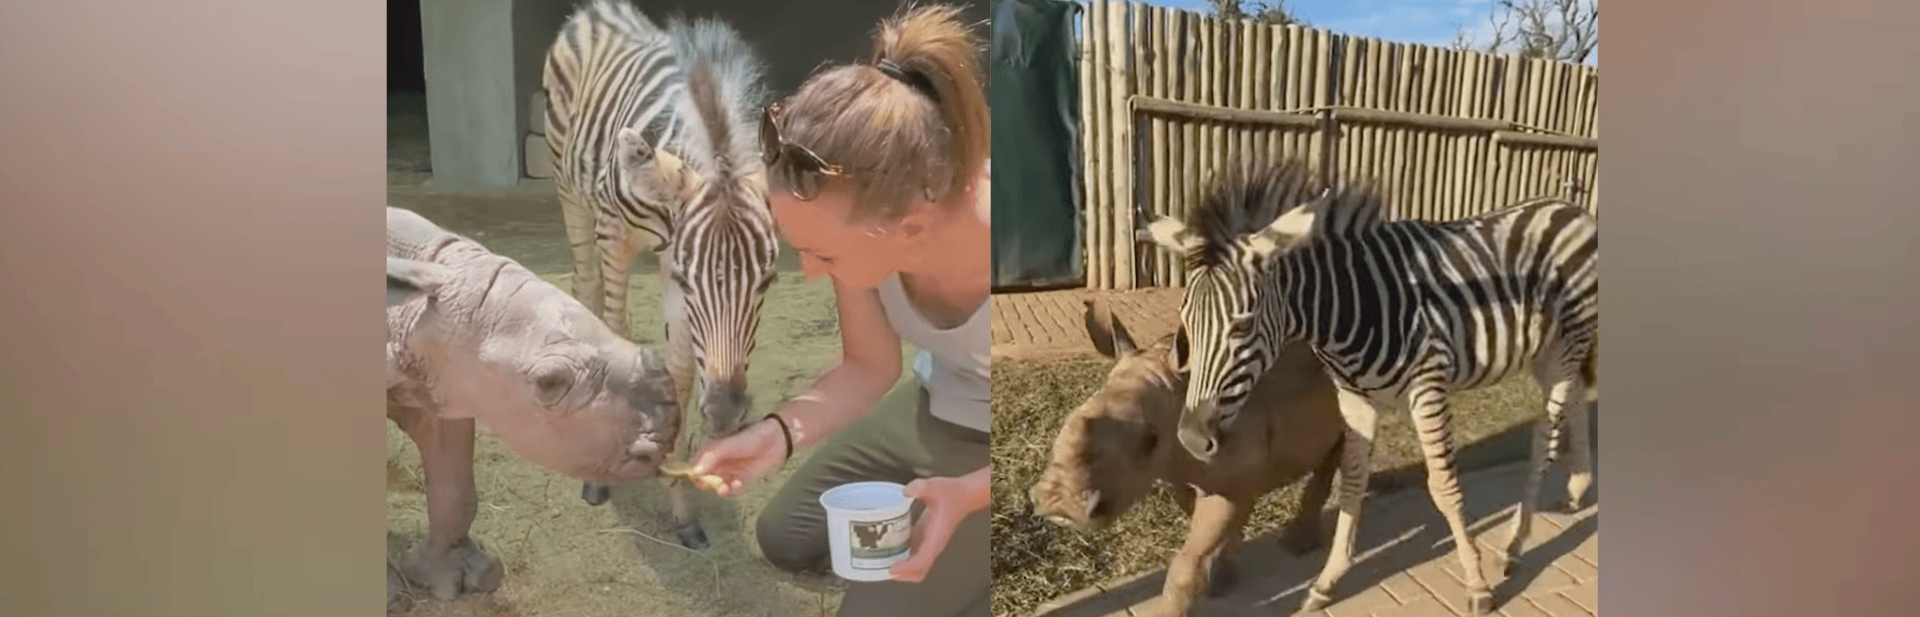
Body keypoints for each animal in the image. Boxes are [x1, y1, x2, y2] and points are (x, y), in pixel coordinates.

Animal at [385, 206, 681, 604]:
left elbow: (455, 484)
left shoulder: (447, 379)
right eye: (549, 383)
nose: (661, 444)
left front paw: (462, 581)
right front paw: (389, 596)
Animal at [542, 0, 778, 550]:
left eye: (767, 281)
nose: (725, 416)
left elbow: (682, 371)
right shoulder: (619, 239)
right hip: (569, 193)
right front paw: (601, 476)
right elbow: (617, 329)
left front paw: (681, 508)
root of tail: (595, 11)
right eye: (693, 281)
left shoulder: (672, 256)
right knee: (587, 288)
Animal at [1143, 160, 1598, 615]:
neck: (1348, 308)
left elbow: (1444, 487)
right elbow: (1351, 485)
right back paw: (1576, 490)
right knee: (1577, 397)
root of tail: (1572, 208)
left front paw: (1477, 585)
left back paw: (1516, 544)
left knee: (1544, 437)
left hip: (1566, 344)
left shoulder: (1428, 387)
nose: (1192, 439)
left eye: (1243, 325)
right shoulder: (1354, 399)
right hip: (1546, 353)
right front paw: (1326, 583)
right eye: (1186, 326)